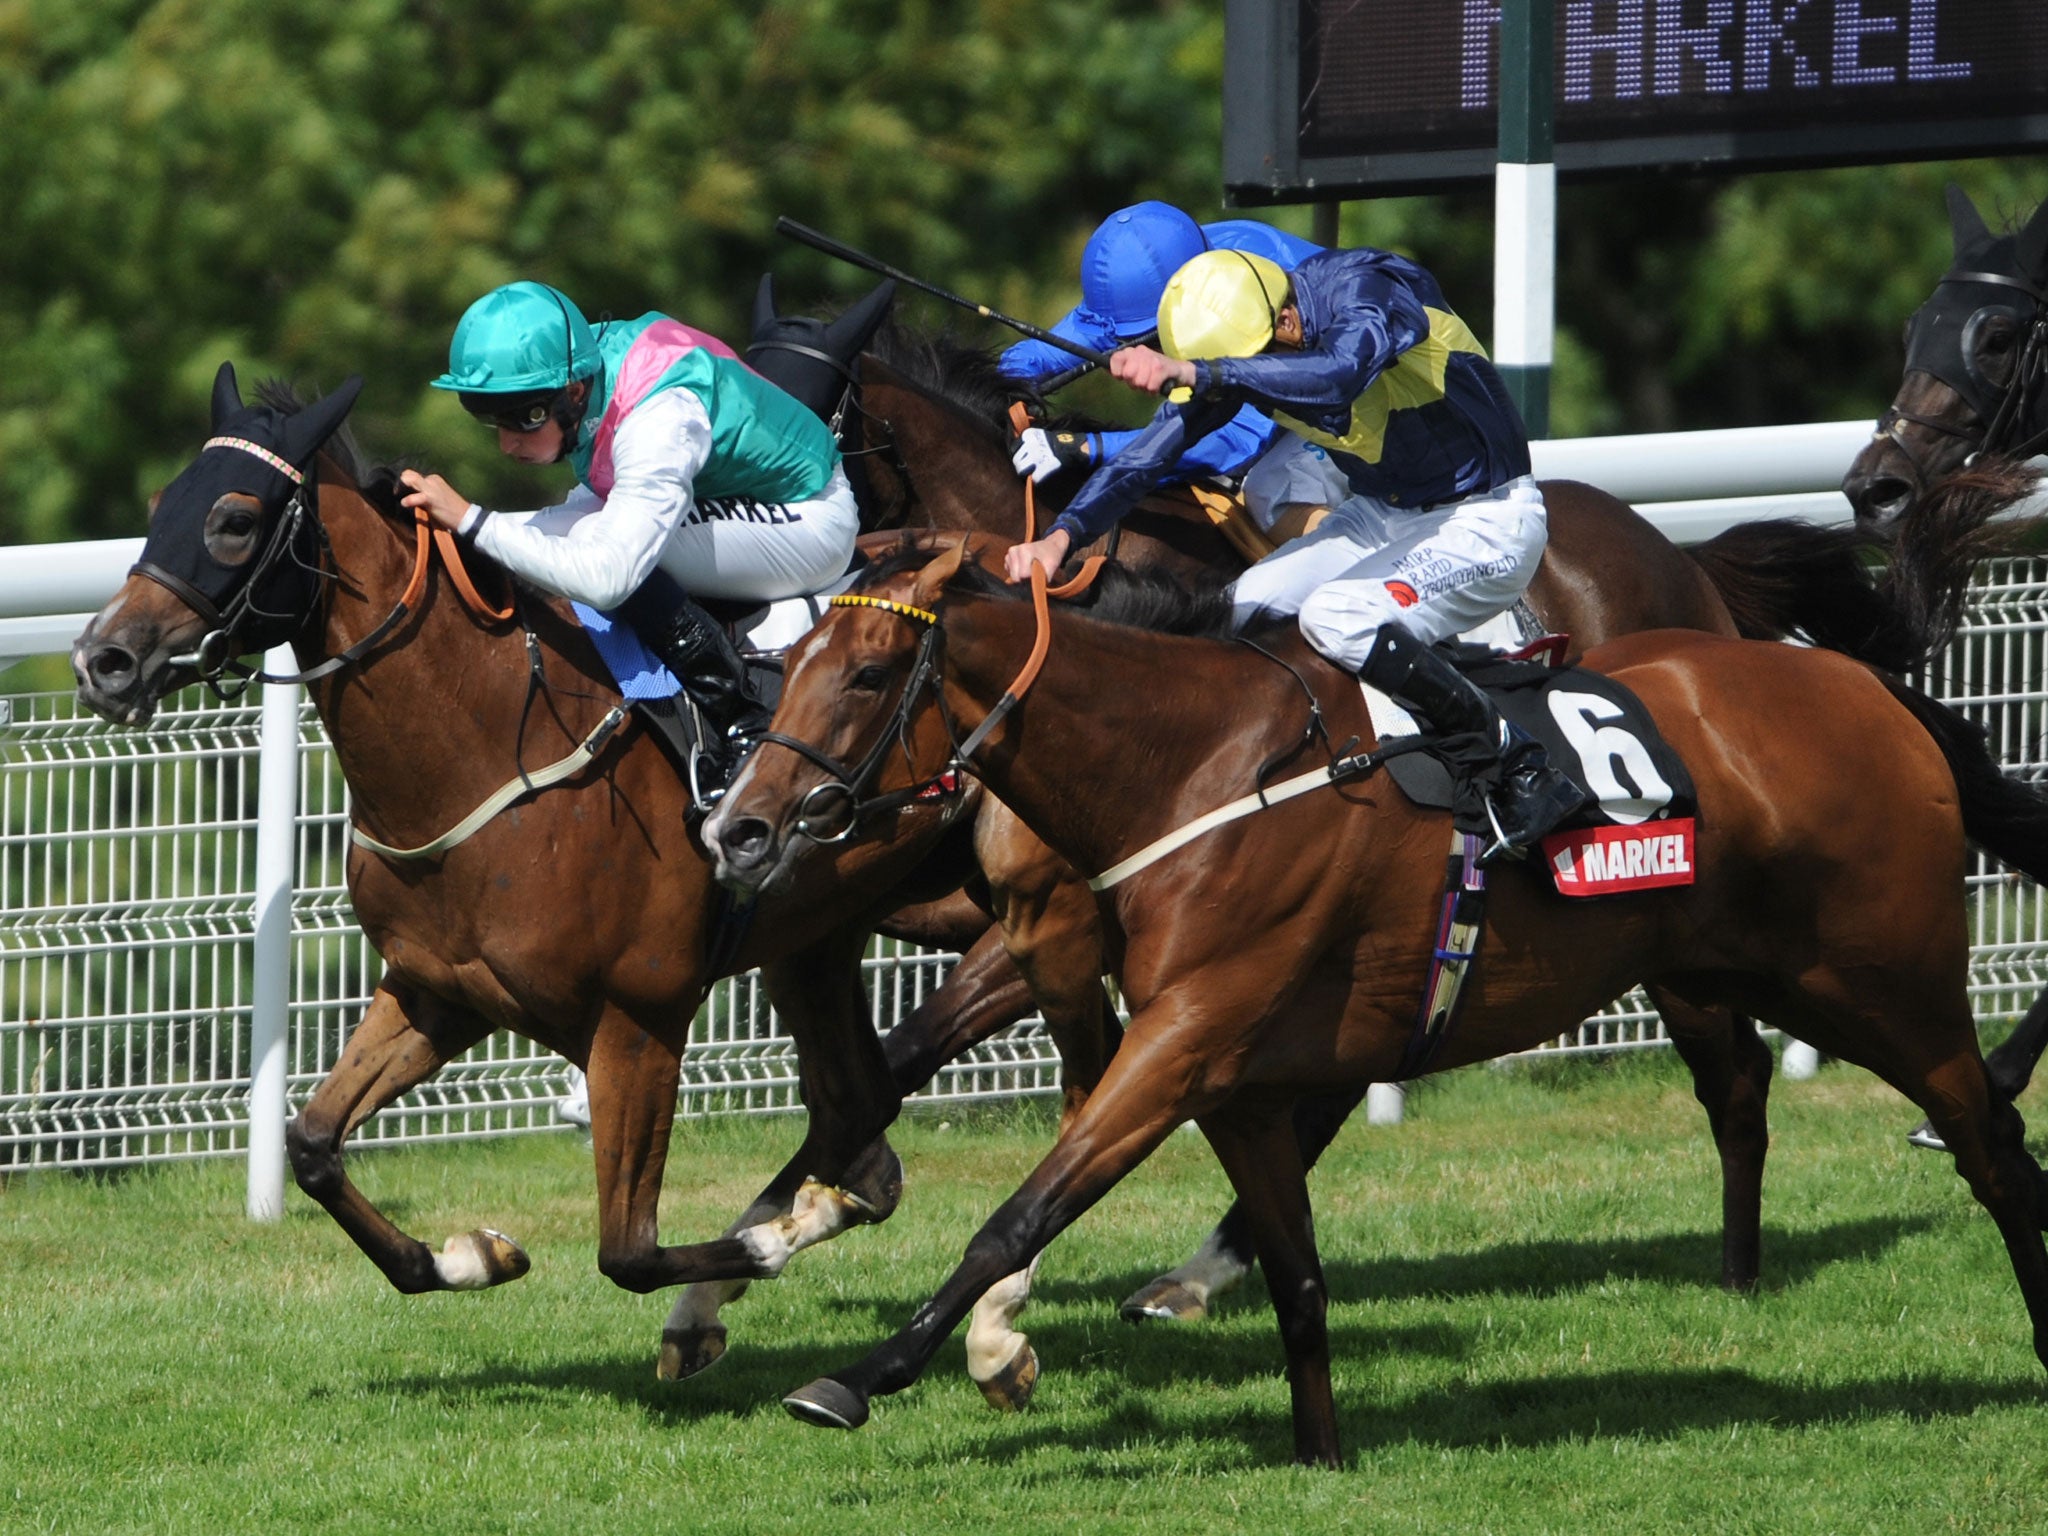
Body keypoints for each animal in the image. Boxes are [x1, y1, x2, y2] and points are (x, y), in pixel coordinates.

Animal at [708, 536, 2048, 1466]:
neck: (1197, 772)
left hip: (1878, 980)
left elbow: (1018, 1214)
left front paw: (868, 1373)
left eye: (867, 674)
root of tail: (1863, 691)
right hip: (1754, 970)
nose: (739, 828)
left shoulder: (1180, 1041)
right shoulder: (1235, 1081)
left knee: (1987, 1141)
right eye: (787, 668)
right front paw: (1319, 1450)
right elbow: (1295, 1273)